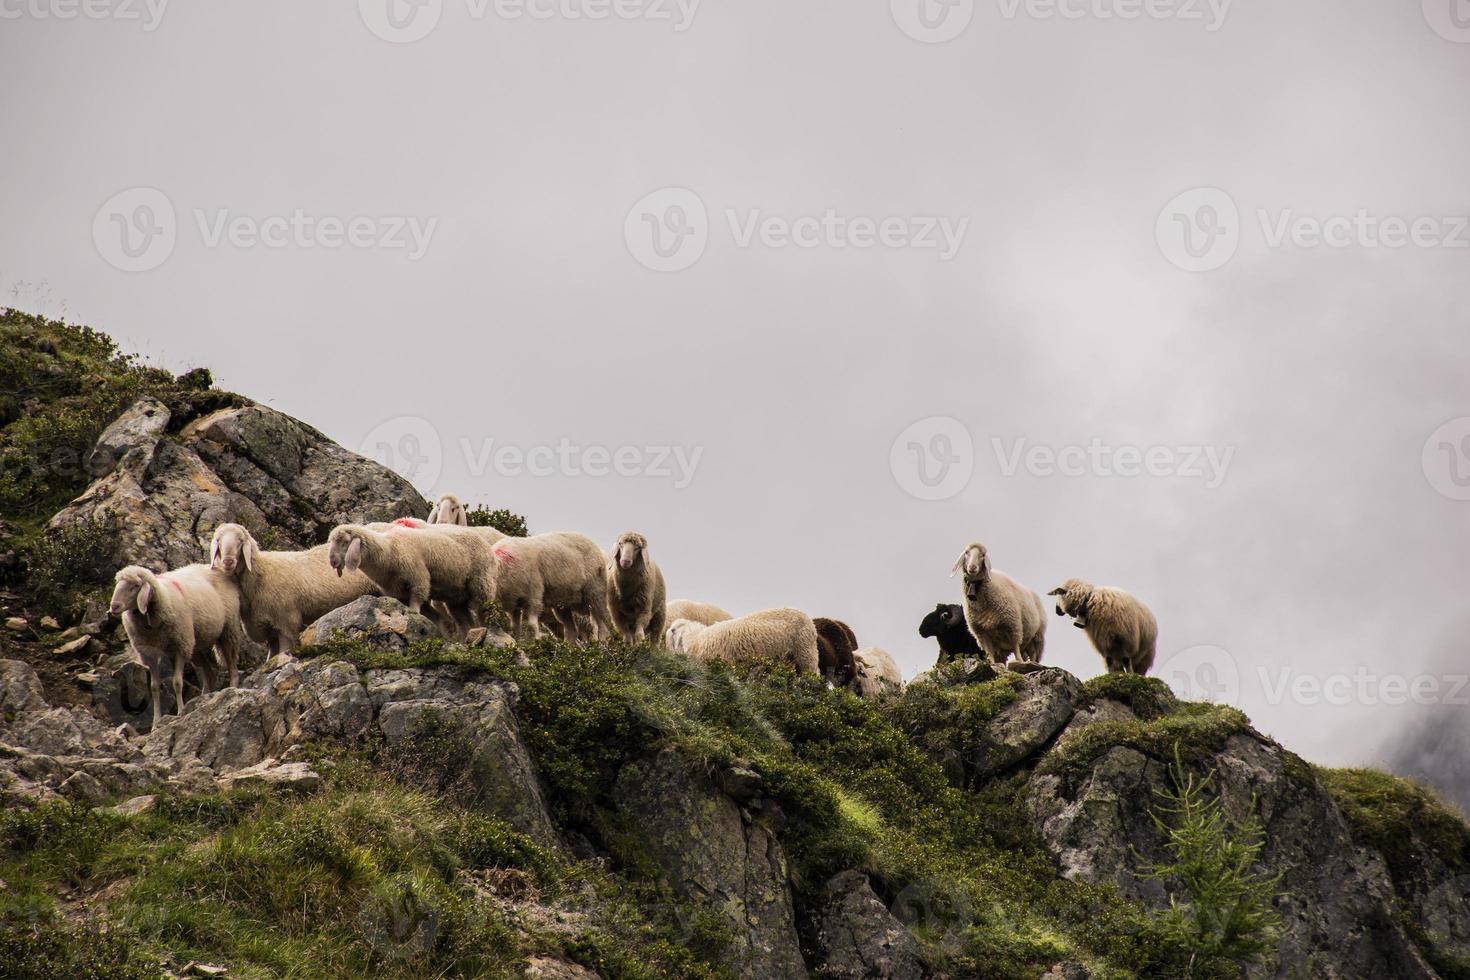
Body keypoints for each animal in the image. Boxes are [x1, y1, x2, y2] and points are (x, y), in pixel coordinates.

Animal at [108, 564, 244, 725]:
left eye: (135, 586)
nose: (114, 607)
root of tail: (211, 567)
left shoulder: (180, 647)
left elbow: (177, 683)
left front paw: (180, 712)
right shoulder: (150, 655)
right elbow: (154, 687)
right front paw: (156, 722)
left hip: (227, 630)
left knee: (233, 668)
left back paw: (232, 691)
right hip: (194, 645)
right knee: (209, 674)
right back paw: (202, 698)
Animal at [208, 525, 382, 655]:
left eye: (240, 541)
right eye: (218, 541)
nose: (228, 561)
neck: (261, 574)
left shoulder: (287, 622)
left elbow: (284, 650)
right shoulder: (270, 632)